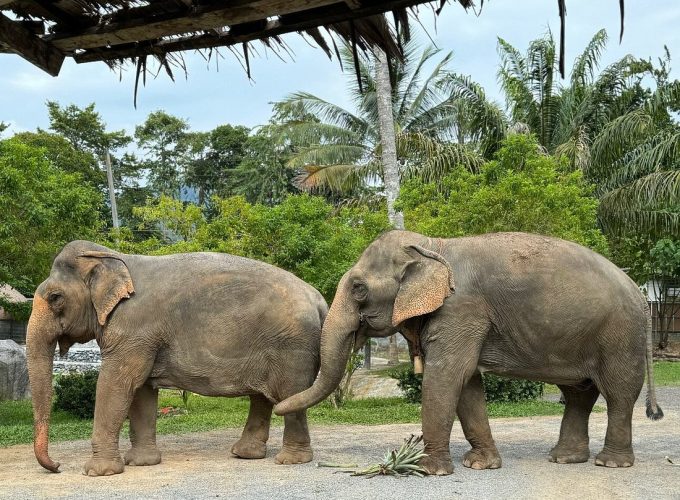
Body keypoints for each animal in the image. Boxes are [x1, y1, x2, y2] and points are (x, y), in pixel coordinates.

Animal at [27, 240, 327, 476]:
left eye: (55, 297)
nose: (57, 466)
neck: (112, 257)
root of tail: (320, 300)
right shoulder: (141, 337)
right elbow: (141, 390)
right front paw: (141, 463)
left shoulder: (135, 329)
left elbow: (117, 383)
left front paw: (98, 472)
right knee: (262, 397)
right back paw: (245, 454)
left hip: (292, 347)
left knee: (289, 395)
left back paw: (290, 460)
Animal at [275, 230, 663, 475]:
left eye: (358, 288)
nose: (277, 407)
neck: (432, 246)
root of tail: (642, 296)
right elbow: (467, 382)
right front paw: (480, 465)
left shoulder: (461, 309)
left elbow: (448, 375)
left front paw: (428, 471)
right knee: (579, 393)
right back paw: (565, 459)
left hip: (620, 335)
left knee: (618, 394)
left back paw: (610, 463)